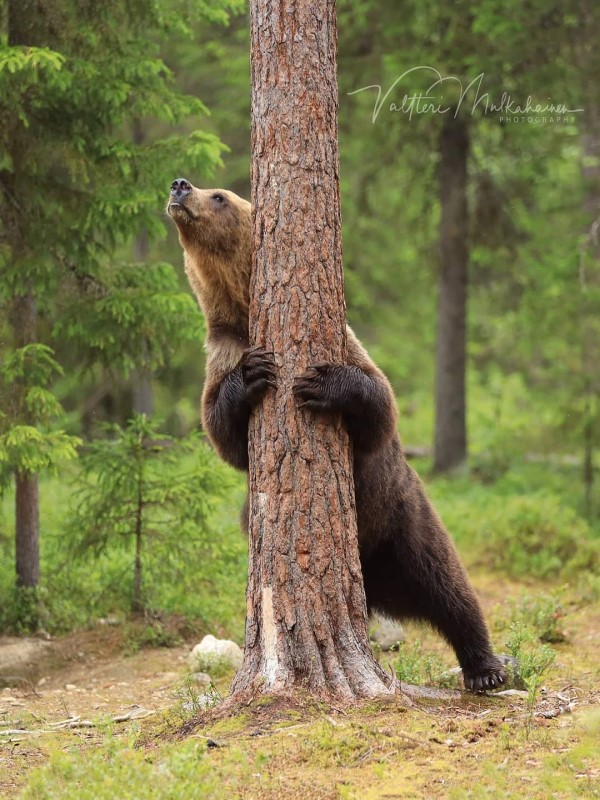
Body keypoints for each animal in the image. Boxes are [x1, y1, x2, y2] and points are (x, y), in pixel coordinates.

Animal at [168, 178, 506, 692]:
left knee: (448, 587)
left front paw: (321, 384)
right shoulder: (222, 352)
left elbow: (380, 403)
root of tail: (374, 582)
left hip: (403, 520)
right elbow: (223, 433)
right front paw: (253, 374)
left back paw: (486, 668)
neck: (242, 309)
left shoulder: (347, 344)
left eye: (220, 195)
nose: (180, 186)